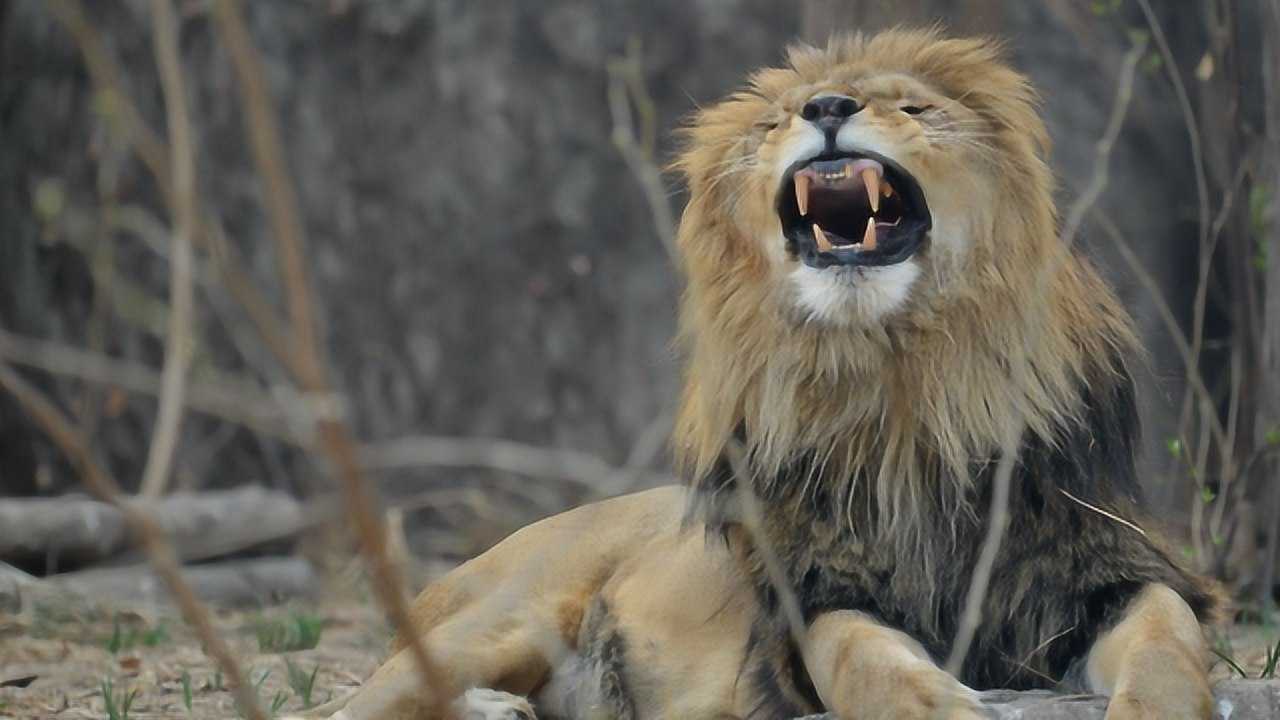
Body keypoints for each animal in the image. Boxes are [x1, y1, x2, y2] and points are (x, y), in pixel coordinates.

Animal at [307, 28, 1218, 717]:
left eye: (912, 107)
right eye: (778, 121)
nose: (827, 107)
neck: (904, 388)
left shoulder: (1097, 572)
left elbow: (1171, 643)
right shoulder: (813, 595)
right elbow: (867, 660)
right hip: (495, 628)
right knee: (349, 709)